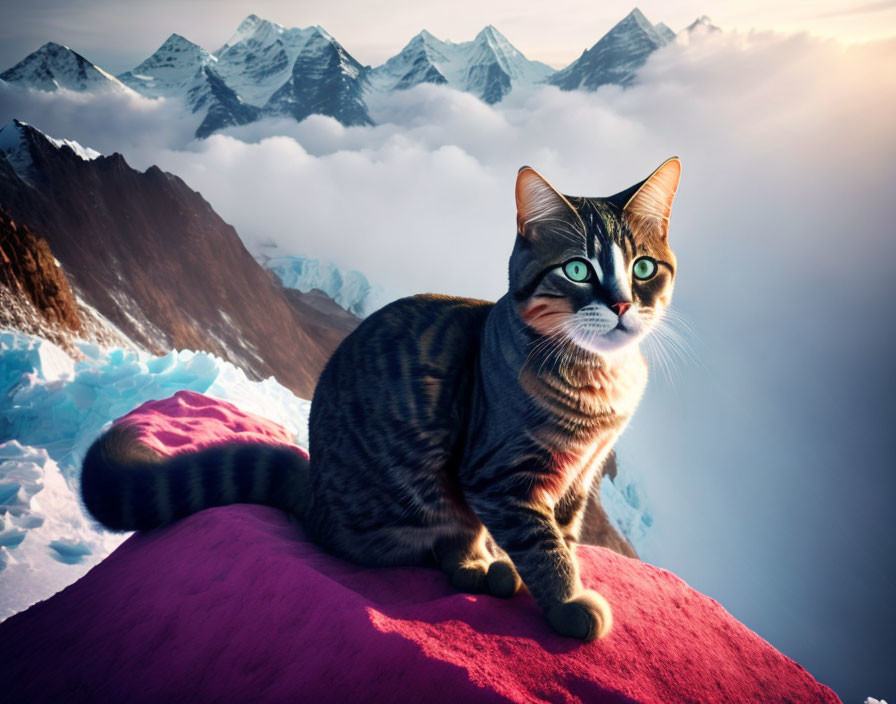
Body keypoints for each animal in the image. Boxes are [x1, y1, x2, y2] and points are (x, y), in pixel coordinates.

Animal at [82, 157, 680, 640]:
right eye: (577, 269)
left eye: (643, 268)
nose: (622, 304)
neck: (600, 381)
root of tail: (314, 493)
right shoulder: (499, 478)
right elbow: (543, 546)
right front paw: (568, 602)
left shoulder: (579, 479)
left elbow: (565, 536)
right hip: (426, 496)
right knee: (439, 548)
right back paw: (482, 567)